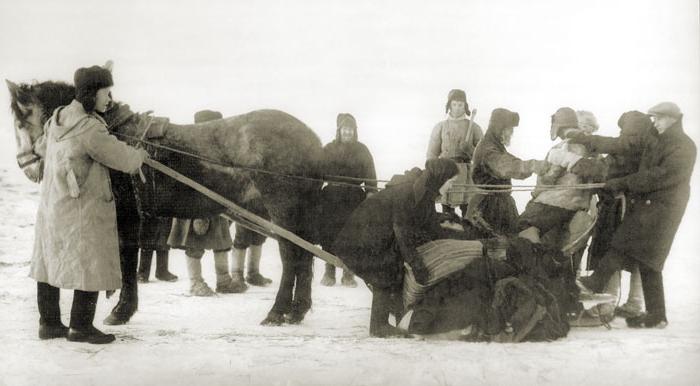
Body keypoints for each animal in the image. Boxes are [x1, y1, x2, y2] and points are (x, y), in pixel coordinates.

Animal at [6, 79, 326, 326]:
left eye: (21, 122)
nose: (27, 167)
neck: (113, 133)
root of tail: (312, 140)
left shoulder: (128, 215)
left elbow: (127, 259)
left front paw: (121, 311)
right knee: (303, 257)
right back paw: (297, 311)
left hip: (283, 212)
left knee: (292, 257)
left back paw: (278, 311)